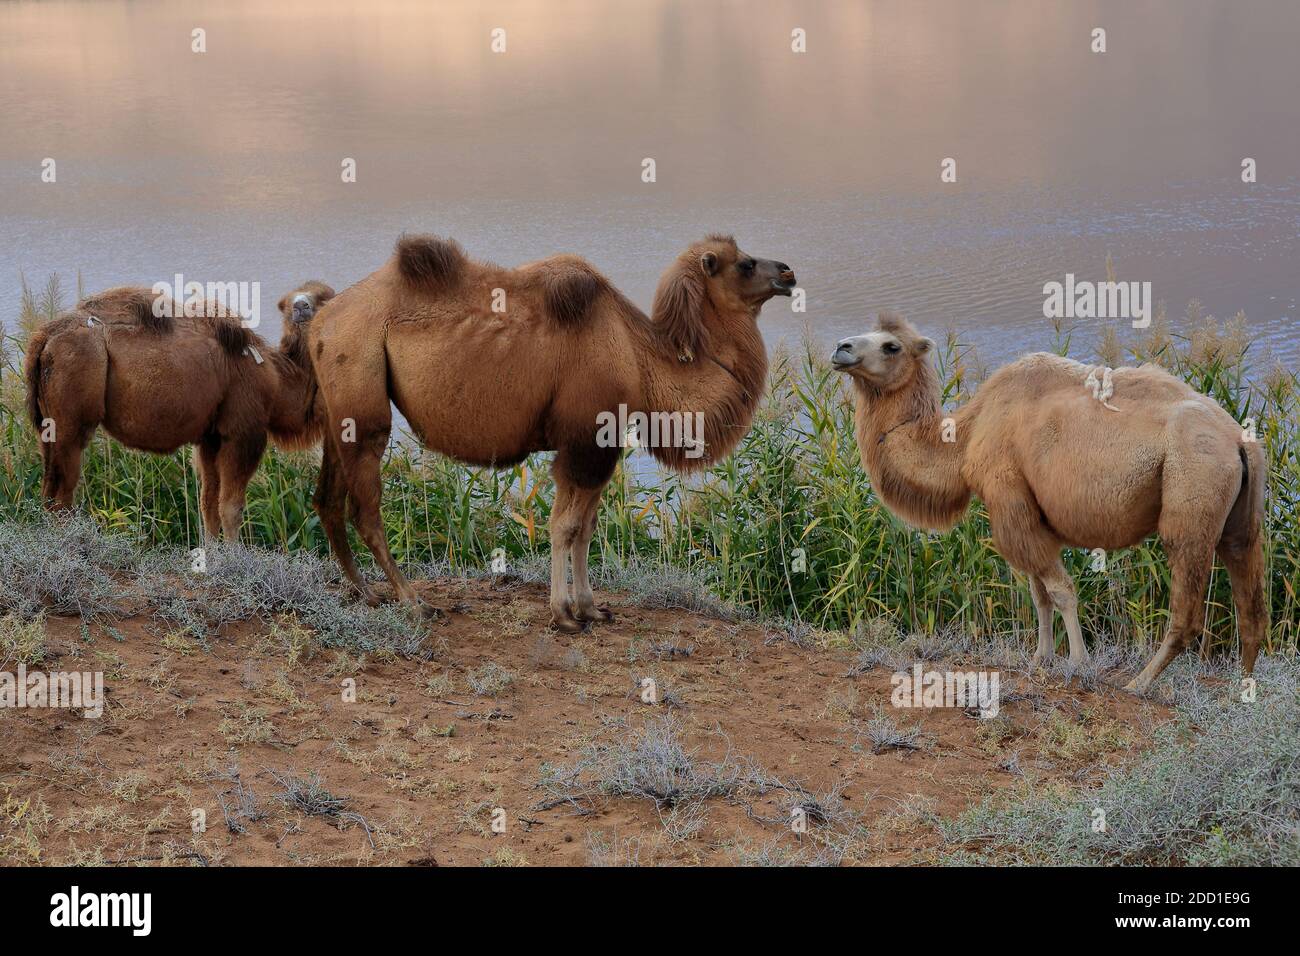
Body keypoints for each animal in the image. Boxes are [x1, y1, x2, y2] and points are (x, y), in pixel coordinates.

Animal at [24, 280, 335, 541]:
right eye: (290, 302)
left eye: (323, 298)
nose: (301, 307)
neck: (276, 380)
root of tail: (45, 335)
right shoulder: (244, 432)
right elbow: (231, 506)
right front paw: (236, 557)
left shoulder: (211, 437)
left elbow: (208, 502)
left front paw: (212, 555)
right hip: (74, 410)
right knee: (63, 492)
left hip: (48, 424)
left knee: (49, 487)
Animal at [309, 235, 795, 632]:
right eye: (745, 264)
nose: (788, 272)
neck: (639, 358)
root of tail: (321, 320)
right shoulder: (584, 441)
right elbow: (565, 525)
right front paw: (564, 614)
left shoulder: (601, 445)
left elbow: (586, 527)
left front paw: (591, 608)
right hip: (363, 397)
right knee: (365, 509)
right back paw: (414, 602)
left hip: (339, 412)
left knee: (327, 500)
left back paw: (366, 593)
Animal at [832, 314, 1268, 697]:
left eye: (891, 346)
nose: (841, 347)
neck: (965, 437)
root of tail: (1238, 440)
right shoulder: (1032, 514)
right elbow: (1038, 593)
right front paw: (1040, 658)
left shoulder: (1007, 498)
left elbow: (1061, 590)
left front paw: (1077, 662)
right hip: (1240, 522)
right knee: (1250, 608)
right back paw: (1238, 695)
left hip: (1191, 493)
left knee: (1188, 610)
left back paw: (1137, 684)